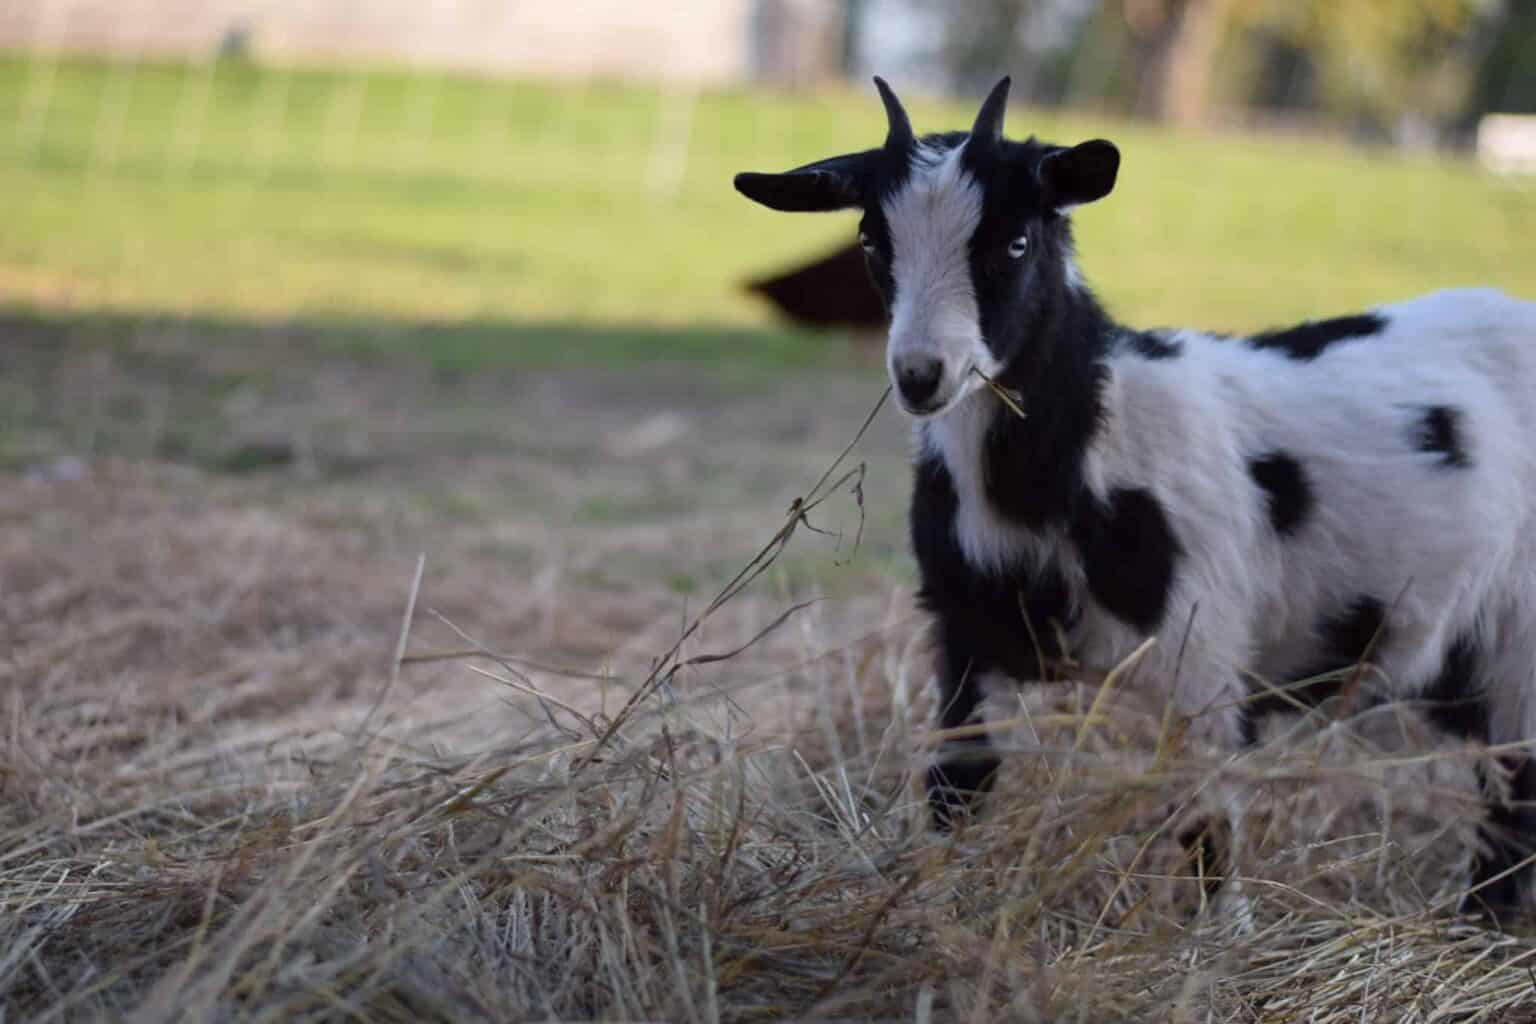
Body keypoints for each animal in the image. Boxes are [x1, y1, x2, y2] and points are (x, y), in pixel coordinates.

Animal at [728, 75, 1536, 914]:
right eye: (870, 242)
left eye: (1016, 242)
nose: (922, 375)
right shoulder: (965, 630)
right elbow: (958, 786)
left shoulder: (1203, 654)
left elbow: (1210, 833)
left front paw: (1217, 941)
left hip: (1520, 633)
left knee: (1514, 790)